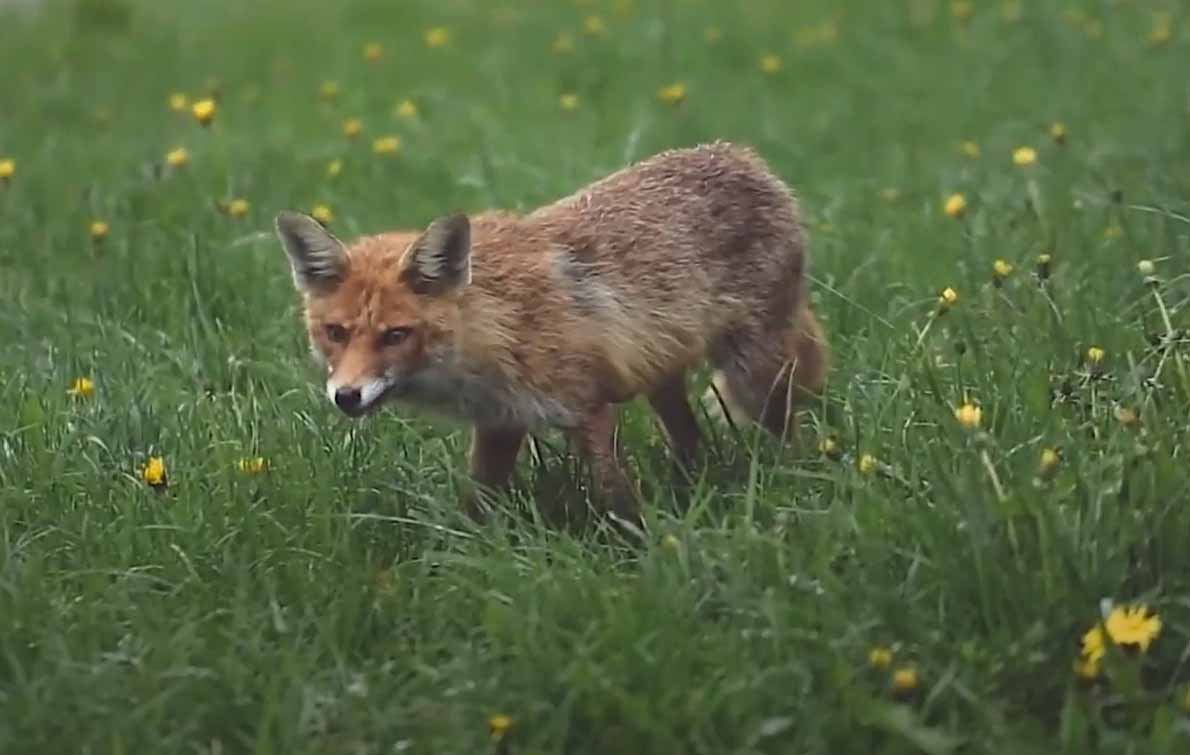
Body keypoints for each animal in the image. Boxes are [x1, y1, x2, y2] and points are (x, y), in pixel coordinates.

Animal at [274, 142, 828, 528]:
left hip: (755, 377)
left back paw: (795, 485)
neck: (496, 327)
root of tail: (749, 159)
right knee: (691, 440)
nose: (346, 396)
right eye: (335, 332)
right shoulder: (500, 423)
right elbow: (478, 506)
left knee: (789, 435)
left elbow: (617, 498)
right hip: (663, 382)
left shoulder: (588, 409)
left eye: (395, 335)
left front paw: (639, 548)